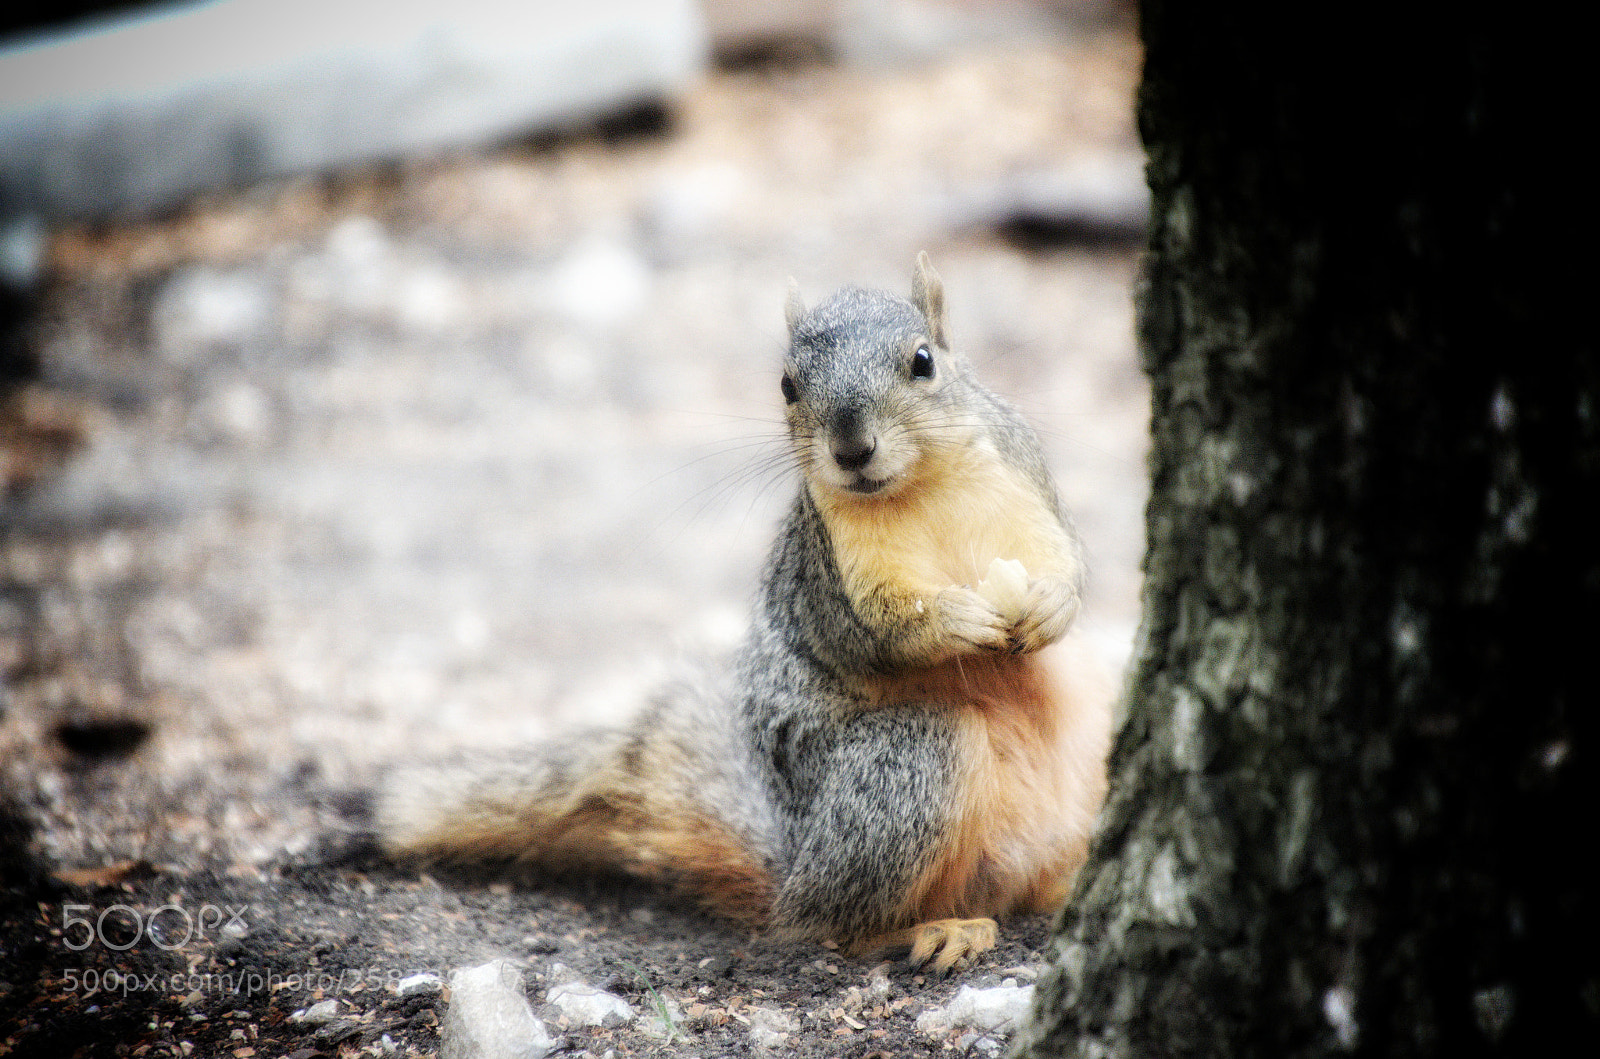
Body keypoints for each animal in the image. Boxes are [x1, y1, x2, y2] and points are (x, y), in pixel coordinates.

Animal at [377, 253, 1113, 972]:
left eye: (924, 361)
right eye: (787, 384)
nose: (852, 450)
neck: (920, 489)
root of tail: (792, 859)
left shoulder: (1027, 486)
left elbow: (1071, 562)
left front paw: (1052, 605)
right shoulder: (828, 575)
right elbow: (872, 632)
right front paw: (955, 621)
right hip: (906, 767)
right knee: (823, 923)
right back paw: (926, 928)